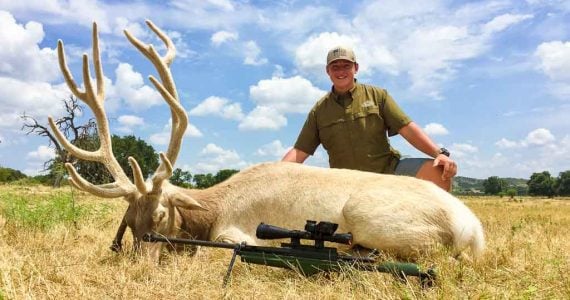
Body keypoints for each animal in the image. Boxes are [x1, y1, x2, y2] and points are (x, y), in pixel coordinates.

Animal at [51, 19, 482, 262]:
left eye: (160, 216)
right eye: (128, 222)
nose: (142, 262)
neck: (215, 208)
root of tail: (474, 230)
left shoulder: (235, 231)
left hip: (372, 216)